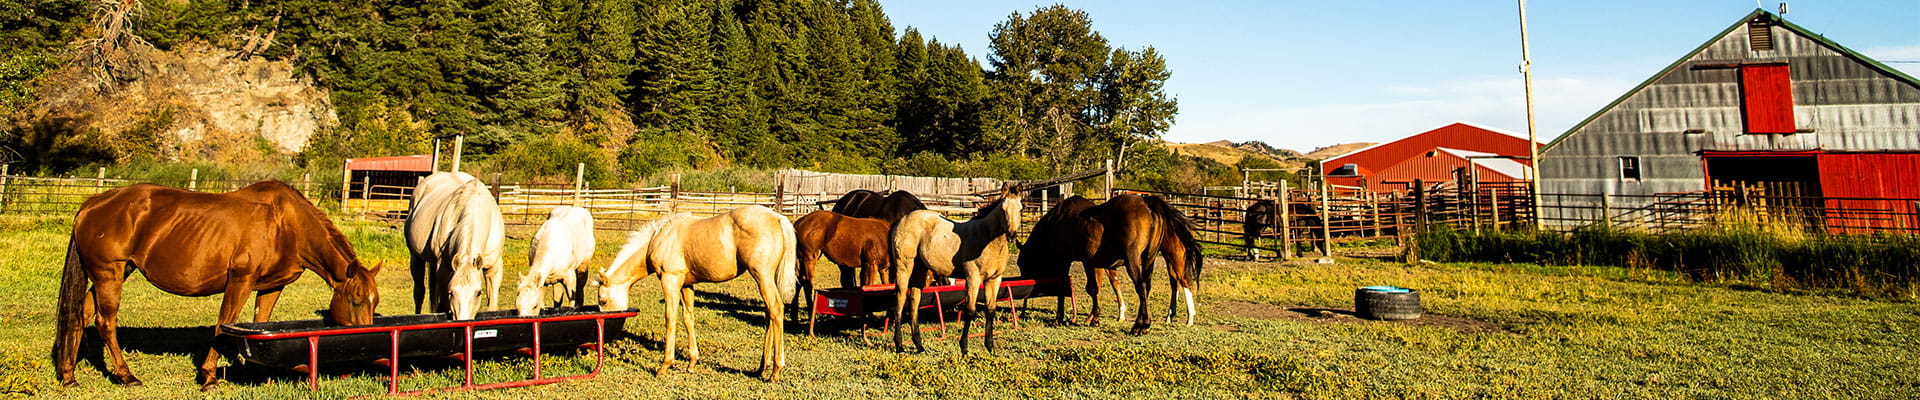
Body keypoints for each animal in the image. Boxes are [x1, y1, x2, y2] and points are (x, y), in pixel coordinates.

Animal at [53, 181, 381, 389]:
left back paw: (68, 375)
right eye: (355, 300)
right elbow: (224, 324)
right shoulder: (240, 281)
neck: (286, 224)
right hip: (109, 273)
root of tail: (92, 204)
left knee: (80, 314)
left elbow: (260, 324)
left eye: (374, 303)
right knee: (105, 321)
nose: (367, 340)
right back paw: (126, 376)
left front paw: (260, 372)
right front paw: (209, 377)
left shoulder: (271, 287)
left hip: (115, 272)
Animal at [406, 172, 506, 320]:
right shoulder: (443, 269)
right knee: (419, 293)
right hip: (415, 257)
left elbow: (492, 305)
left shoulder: (494, 267)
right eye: (451, 292)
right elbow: (443, 306)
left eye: (478, 292)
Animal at [598, 206, 798, 382]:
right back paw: (762, 368)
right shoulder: (687, 285)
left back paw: (776, 371)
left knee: (776, 309)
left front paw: (665, 365)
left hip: (762, 276)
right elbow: (688, 317)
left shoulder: (670, 280)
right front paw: (692, 362)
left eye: (603, 300)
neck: (659, 238)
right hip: (765, 279)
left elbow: (670, 318)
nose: (607, 328)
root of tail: (778, 218)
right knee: (769, 314)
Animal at [888, 187, 1022, 354]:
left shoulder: (994, 279)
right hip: (904, 267)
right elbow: (970, 310)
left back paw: (919, 346)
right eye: (1003, 210)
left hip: (920, 269)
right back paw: (899, 346)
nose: (1012, 234)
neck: (987, 238)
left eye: (1020, 209)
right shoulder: (973, 278)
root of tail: (900, 221)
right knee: (899, 300)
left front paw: (990, 348)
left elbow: (991, 310)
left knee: (914, 302)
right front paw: (964, 347)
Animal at [1016, 194, 1203, 335]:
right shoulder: (1090, 262)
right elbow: (1094, 288)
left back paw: (1140, 325)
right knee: (1148, 287)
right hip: (1149, 261)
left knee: (1142, 286)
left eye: (1022, 263)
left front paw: (1059, 319)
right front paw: (1094, 318)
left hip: (1134, 261)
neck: (1056, 222)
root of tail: (1147, 203)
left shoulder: (1064, 260)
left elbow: (1064, 289)